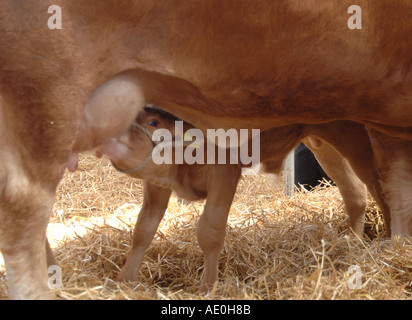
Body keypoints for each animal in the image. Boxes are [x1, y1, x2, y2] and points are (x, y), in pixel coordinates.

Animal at [0, 1, 410, 298]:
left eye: (154, 122)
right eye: (141, 115)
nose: (112, 136)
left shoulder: (225, 171)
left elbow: (210, 229)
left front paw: (207, 285)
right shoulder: (156, 186)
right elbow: (142, 229)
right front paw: (126, 278)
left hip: (358, 134)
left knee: (378, 185)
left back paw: (384, 247)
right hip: (322, 141)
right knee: (356, 193)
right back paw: (357, 243)